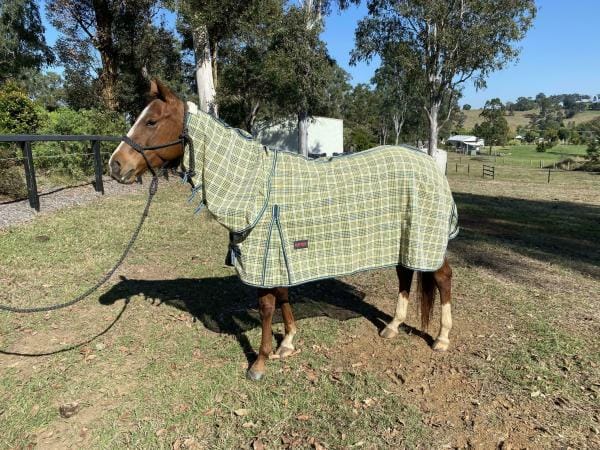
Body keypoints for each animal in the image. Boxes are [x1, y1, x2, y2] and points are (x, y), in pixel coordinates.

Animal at [109, 80, 454, 380]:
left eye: (151, 121)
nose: (115, 165)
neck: (252, 184)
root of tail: (429, 163)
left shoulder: (264, 255)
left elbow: (266, 307)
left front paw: (259, 363)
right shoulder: (277, 255)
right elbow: (284, 295)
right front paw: (287, 343)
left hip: (426, 236)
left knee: (441, 277)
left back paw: (441, 338)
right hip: (405, 240)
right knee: (405, 274)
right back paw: (393, 326)